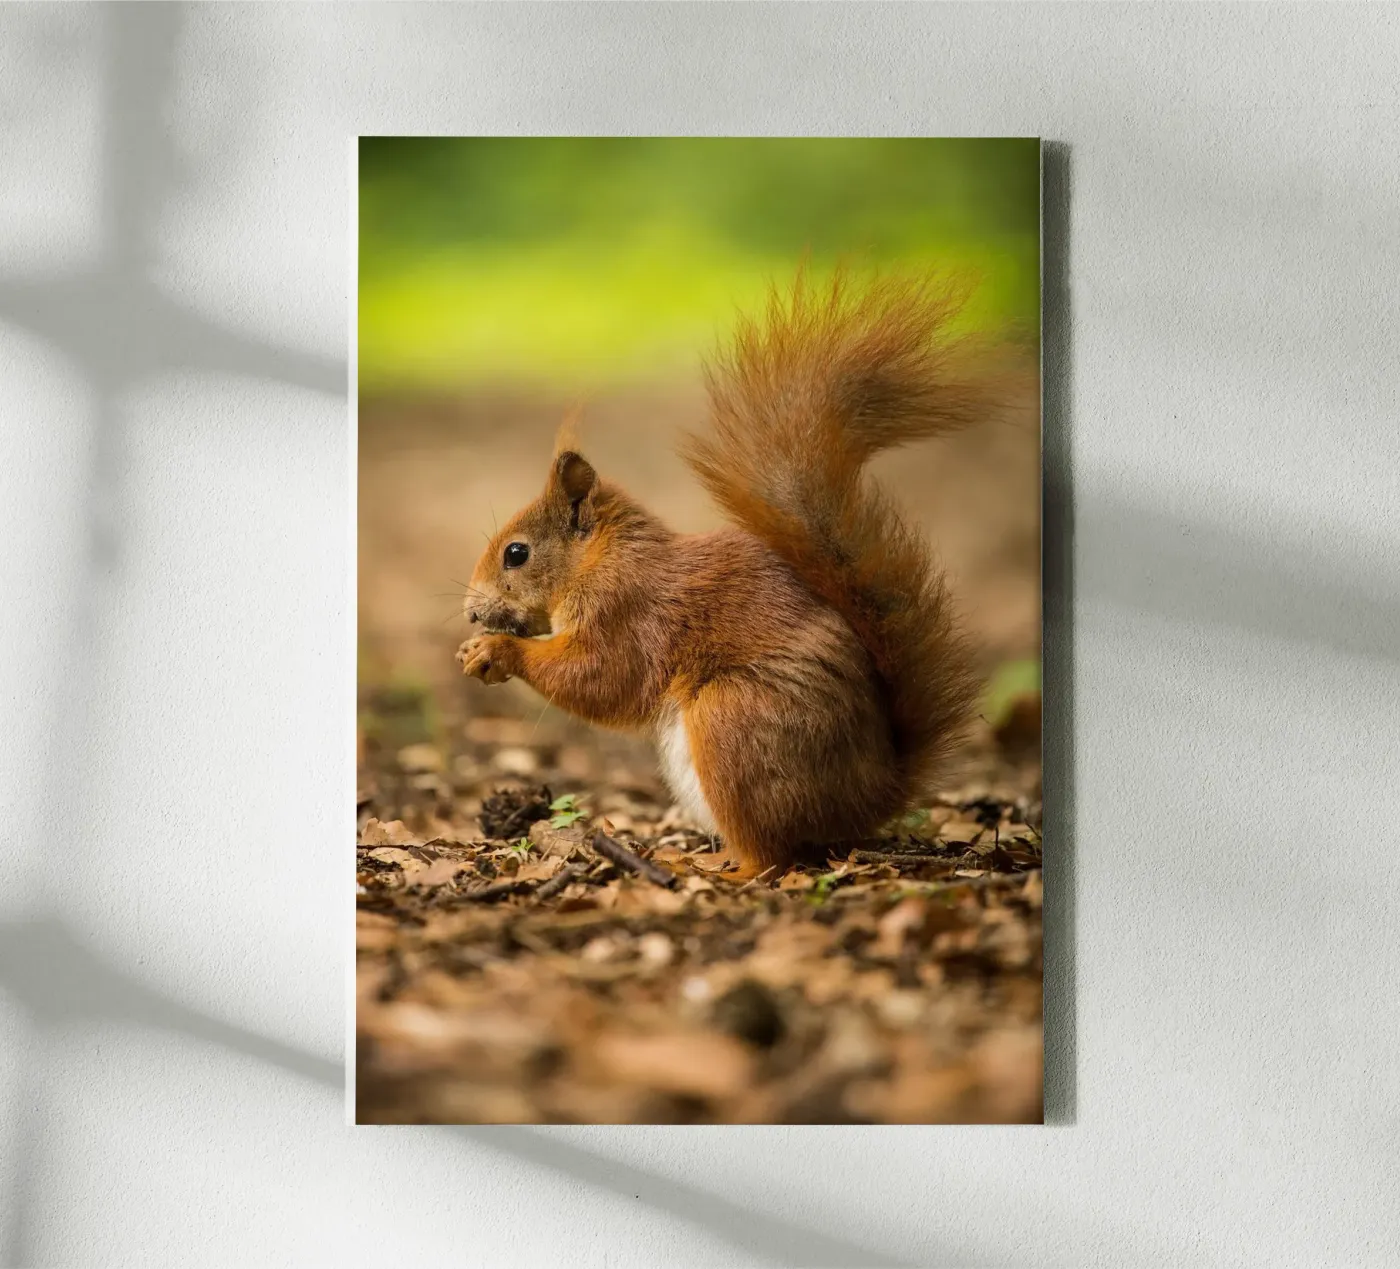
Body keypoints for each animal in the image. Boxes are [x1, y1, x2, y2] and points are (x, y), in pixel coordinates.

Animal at [456, 271, 1001, 878]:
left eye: (516, 554)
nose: (472, 611)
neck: (602, 559)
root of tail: (871, 797)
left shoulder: (630, 611)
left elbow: (601, 676)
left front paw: (496, 651)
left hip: (734, 721)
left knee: (771, 857)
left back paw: (707, 868)